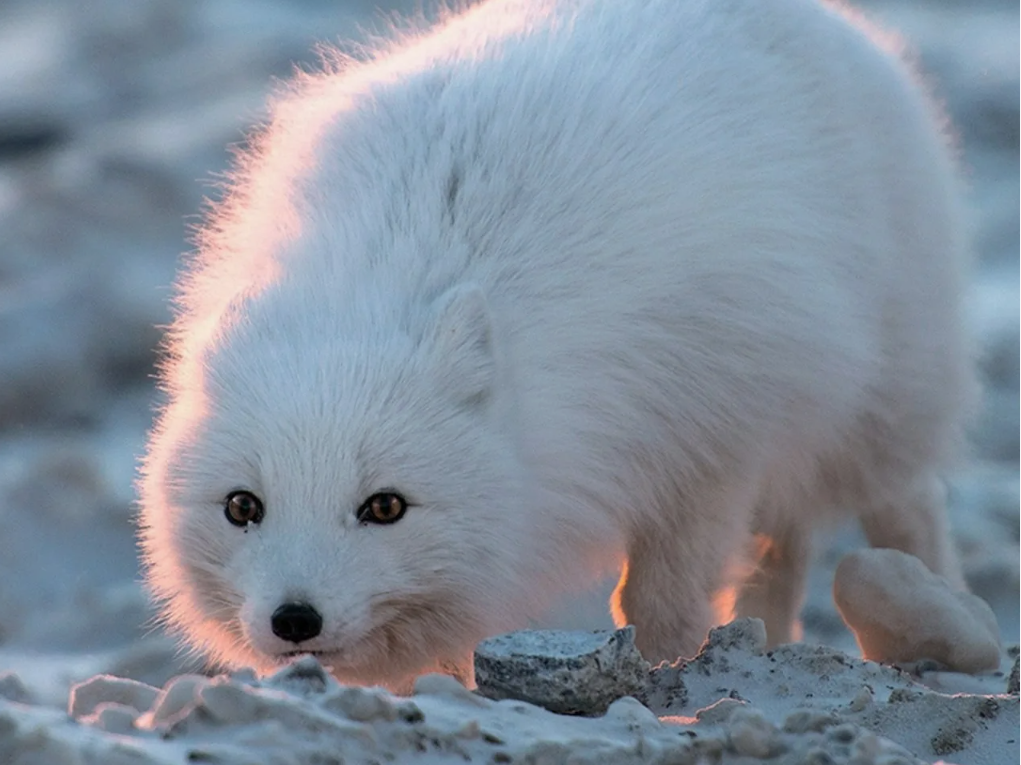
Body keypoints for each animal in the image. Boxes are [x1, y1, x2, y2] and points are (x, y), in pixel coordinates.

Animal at [135, 0, 971, 686]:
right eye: (242, 505)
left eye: (385, 506)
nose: (294, 619)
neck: (386, 271)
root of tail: (834, 22)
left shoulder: (713, 436)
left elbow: (660, 596)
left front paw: (668, 674)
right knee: (785, 546)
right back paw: (770, 636)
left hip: (881, 399)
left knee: (904, 503)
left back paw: (945, 617)